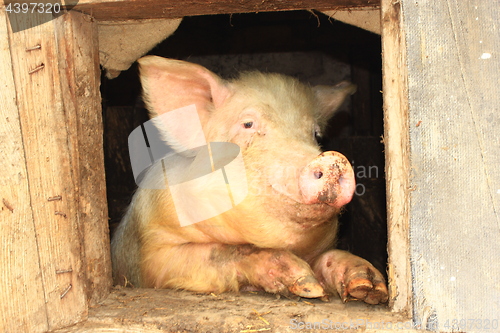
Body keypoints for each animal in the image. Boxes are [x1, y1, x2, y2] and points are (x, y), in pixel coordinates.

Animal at [111, 55, 388, 304]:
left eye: (316, 133)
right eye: (247, 124)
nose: (332, 159)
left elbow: (330, 257)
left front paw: (369, 286)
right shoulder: (152, 255)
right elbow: (219, 251)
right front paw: (304, 283)